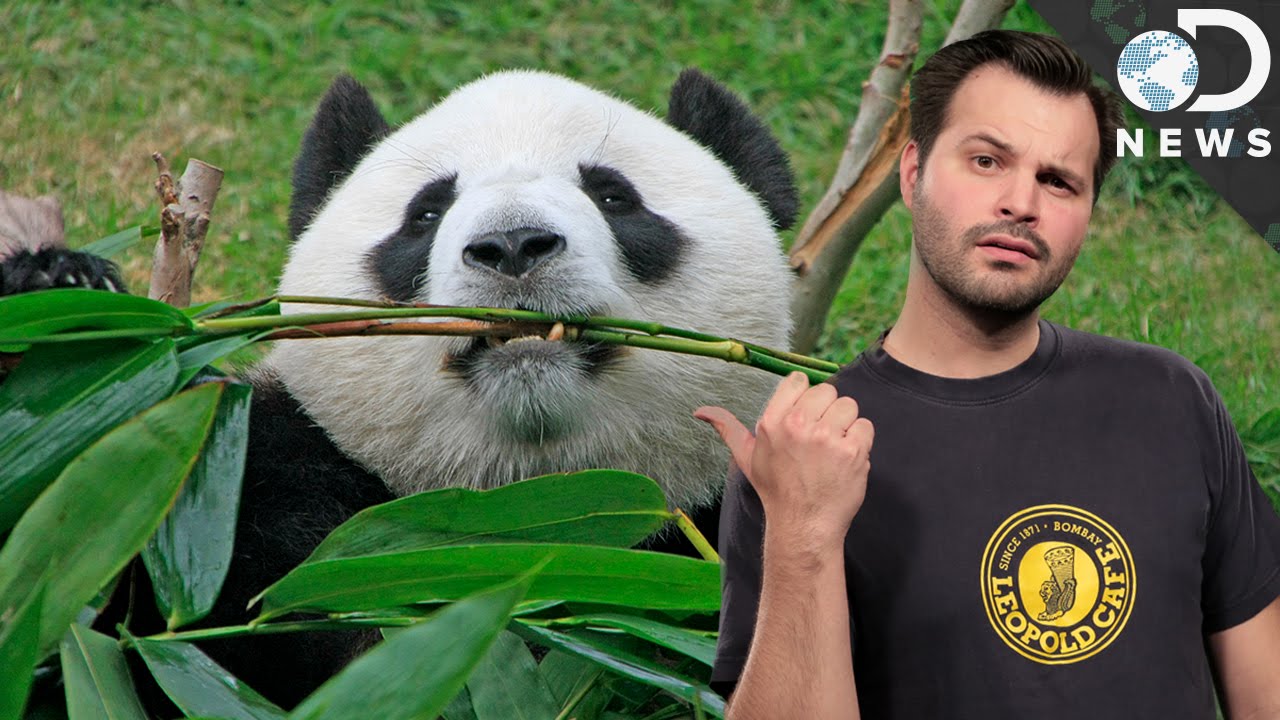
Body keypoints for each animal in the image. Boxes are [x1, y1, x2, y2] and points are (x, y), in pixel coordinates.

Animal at [4, 68, 800, 709]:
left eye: (613, 195)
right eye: (425, 213)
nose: (513, 246)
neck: (522, 506)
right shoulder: (246, 485)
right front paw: (57, 298)